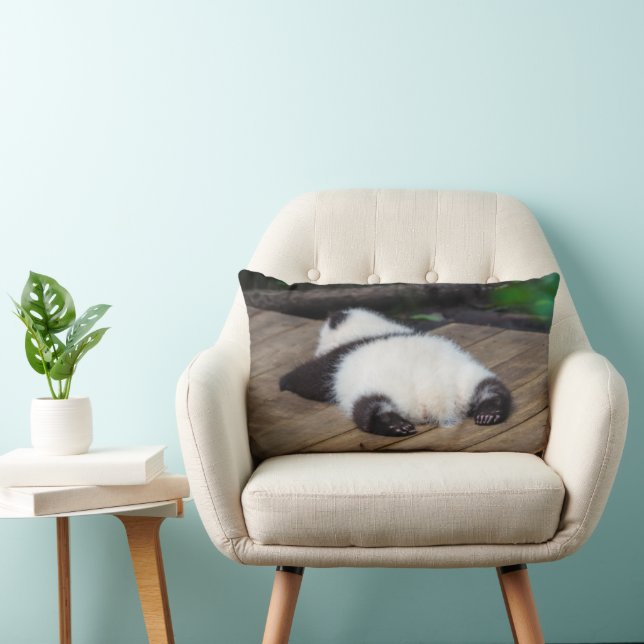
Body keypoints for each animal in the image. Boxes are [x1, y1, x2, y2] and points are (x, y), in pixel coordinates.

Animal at [279, 307, 512, 438]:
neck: (369, 329)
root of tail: (436, 397)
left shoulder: (337, 359)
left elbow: (310, 377)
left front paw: (285, 381)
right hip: (467, 376)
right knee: (491, 388)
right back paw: (490, 412)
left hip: (374, 388)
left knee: (368, 407)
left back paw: (393, 425)